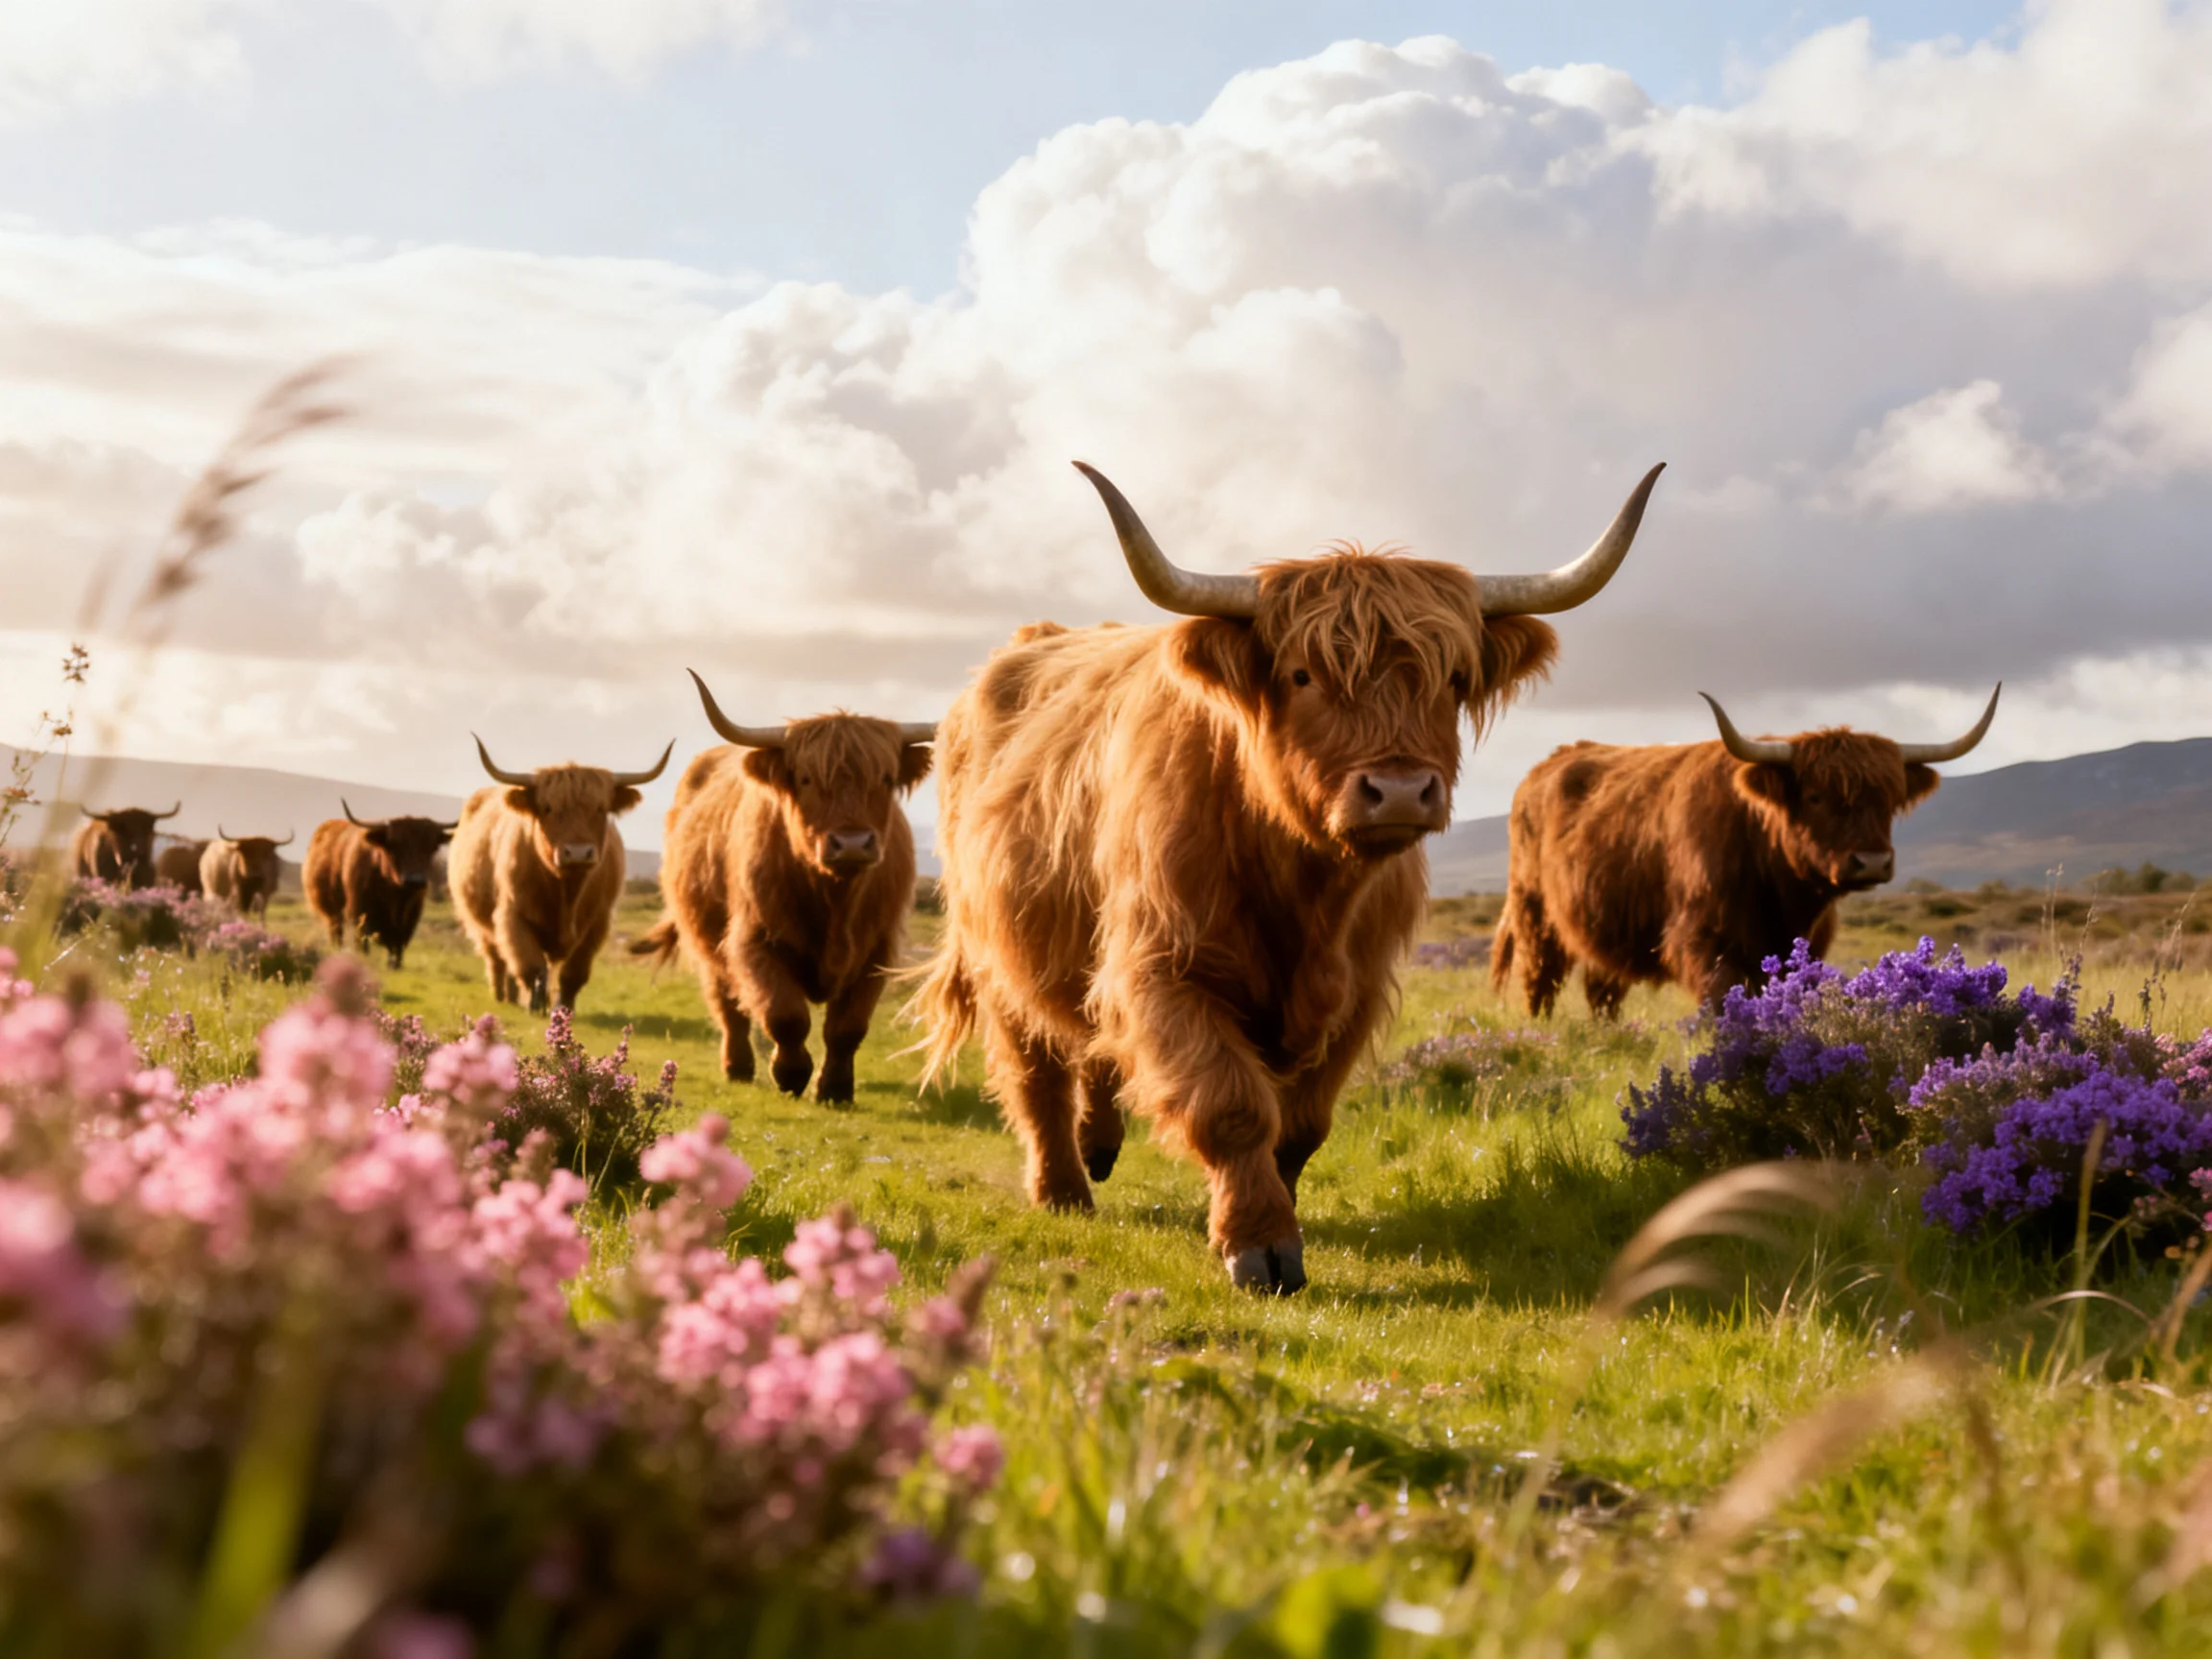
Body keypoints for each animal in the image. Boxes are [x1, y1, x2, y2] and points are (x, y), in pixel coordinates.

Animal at [304, 802, 458, 969]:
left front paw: (395, 964)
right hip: (331, 912)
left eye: (431, 846)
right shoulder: (359, 910)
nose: (414, 880)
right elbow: (364, 939)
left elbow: (398, 942)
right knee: (336, 933)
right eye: (394, 844)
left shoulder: (410, 916)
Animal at [449, 737, 672, 1013]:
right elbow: (531, 966)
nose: (578, 853)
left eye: (600, 808)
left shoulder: (597, 924)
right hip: (480, 922)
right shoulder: (514, 916)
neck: (568, 892)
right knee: (497, 958)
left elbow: (573, 972)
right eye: (548, 808)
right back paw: (503, 996)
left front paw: (563, 1008)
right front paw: (536, 1006)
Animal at [632, 672, 933, 1102]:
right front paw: (790, 1075)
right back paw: (738, 1068)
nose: (852, 844)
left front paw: (835, 1089)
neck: (835, 899)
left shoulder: (878, 950)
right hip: (708, 943)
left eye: (886, 778)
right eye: (806, 779)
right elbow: (785, 1015)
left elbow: (848, 1027)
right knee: (729, 1007)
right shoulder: (755, 940)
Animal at [911, 459, 1664, 1293]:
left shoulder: (1358, 990)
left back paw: (1099, 1145)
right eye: (1303, 675)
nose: (1400, 789)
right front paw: (1259, 1243)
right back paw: (1064, 1188)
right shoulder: (1167, 968)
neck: (1307, 890)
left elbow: (1300, 1124)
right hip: (998, 952)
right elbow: (1230, 1106)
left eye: (1453, 678)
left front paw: (1276, 1206)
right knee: (1035, 1069)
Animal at [1492, 686, 2001, 1018]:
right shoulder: (1704, 944)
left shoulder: (1803, 949)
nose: (1871, 862)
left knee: (1603, 991)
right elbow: (1723, 1007)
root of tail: (1547, 764)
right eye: (1815, 796)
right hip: (1535, 913)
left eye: (1891, 798)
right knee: (1539, 982)